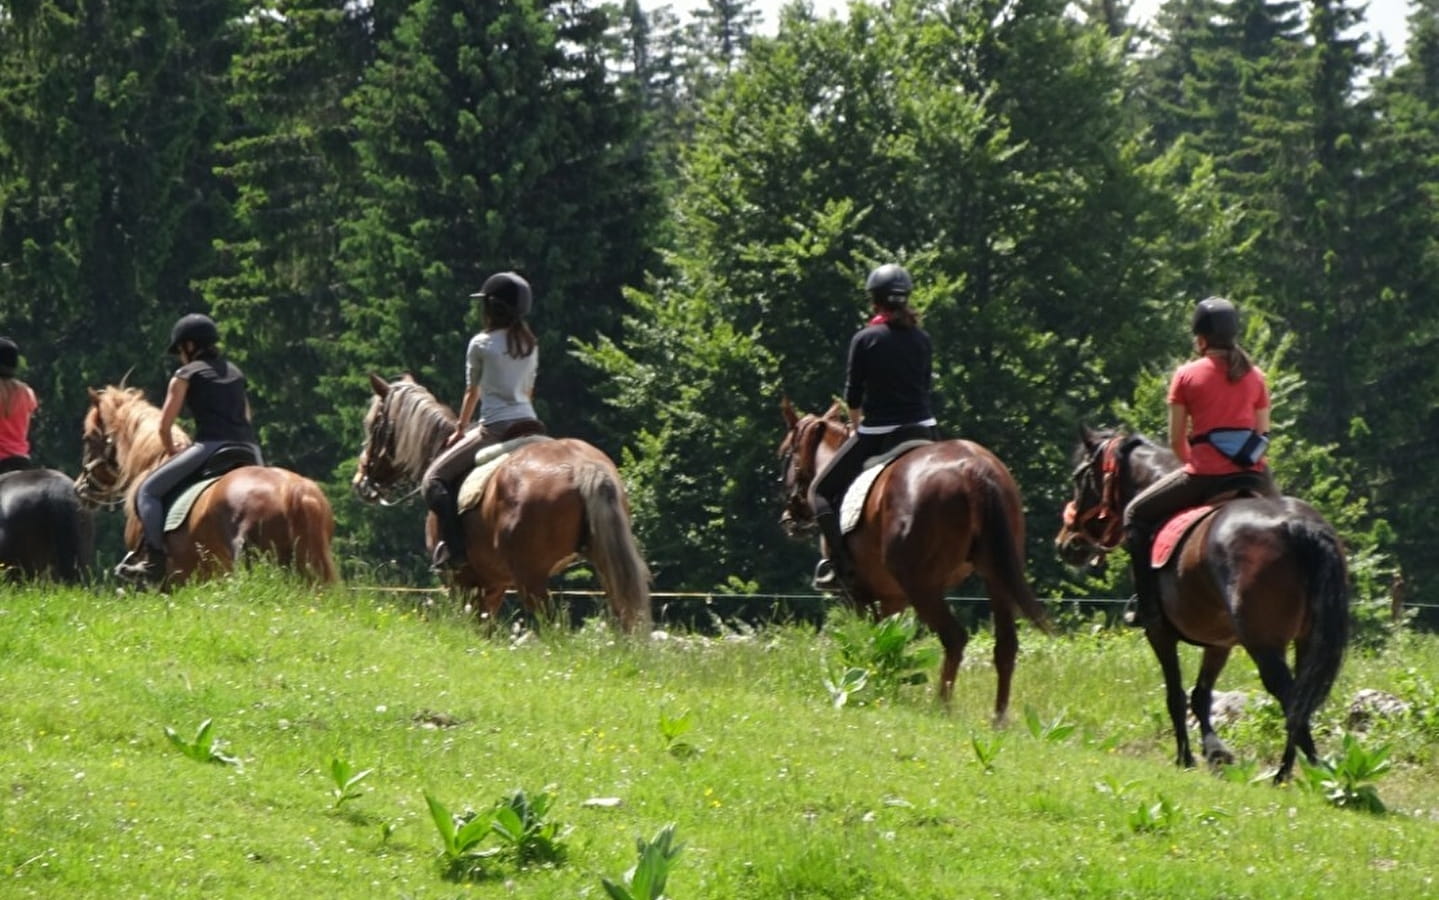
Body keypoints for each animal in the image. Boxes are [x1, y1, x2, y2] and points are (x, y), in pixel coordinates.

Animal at [351, 371, 650, 630]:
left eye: (373, 425)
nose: (360, 480)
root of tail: (582, 465)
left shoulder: (461, 581)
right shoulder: (494, 581)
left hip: (530, 577)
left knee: (553, 626)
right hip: (603, 562)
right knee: (624, 615)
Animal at [782, 397, 1053, 720]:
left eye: (786, 453)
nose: (790, 518)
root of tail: (973, 469)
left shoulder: (857, 595)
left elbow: (864, 638)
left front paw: (860, 686)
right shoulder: (892, 596)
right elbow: (887, 640)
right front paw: (884, 685)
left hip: (921, 585)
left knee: (954, 637)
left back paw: (942, 707)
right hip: (994, 575)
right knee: (1006, 645)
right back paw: (998, 717)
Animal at [1059, 423, 1346, 783]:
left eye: (1079, 477)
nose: (1067, 543)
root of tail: (1296, 525)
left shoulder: (1159, 634)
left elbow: (1176, 696)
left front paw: (1186, 757)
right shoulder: (1219, 643)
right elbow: (1200, 696)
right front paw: (1215, 753)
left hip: (1264, 644)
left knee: (1289, 695)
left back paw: (1291, 772)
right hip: (1307, 639)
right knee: (1302, 695)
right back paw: (1309, 769)